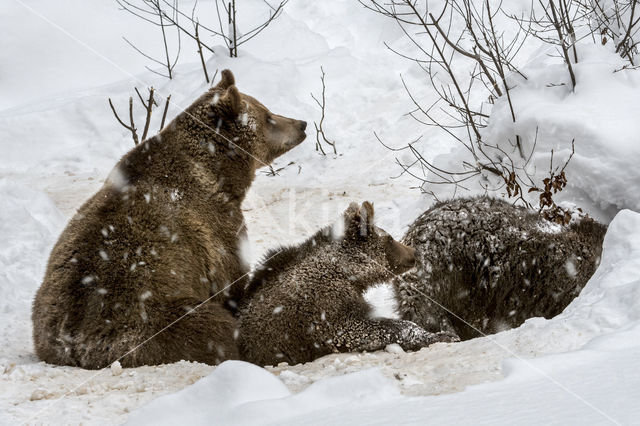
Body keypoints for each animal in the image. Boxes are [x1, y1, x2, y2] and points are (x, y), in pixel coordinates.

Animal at [32, 70, 308, 370]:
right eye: (268, 116)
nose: (302, 124)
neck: (217, 172)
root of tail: (79, 346)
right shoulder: (217, 228)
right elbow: (232, 276)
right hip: (154, 320)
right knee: (210, 327)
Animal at [238, 201, 458, 366]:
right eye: (389, 238)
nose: (414, 253)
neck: (348, 273)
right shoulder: (326, 308)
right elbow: (363, 328)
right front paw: (441, 335)